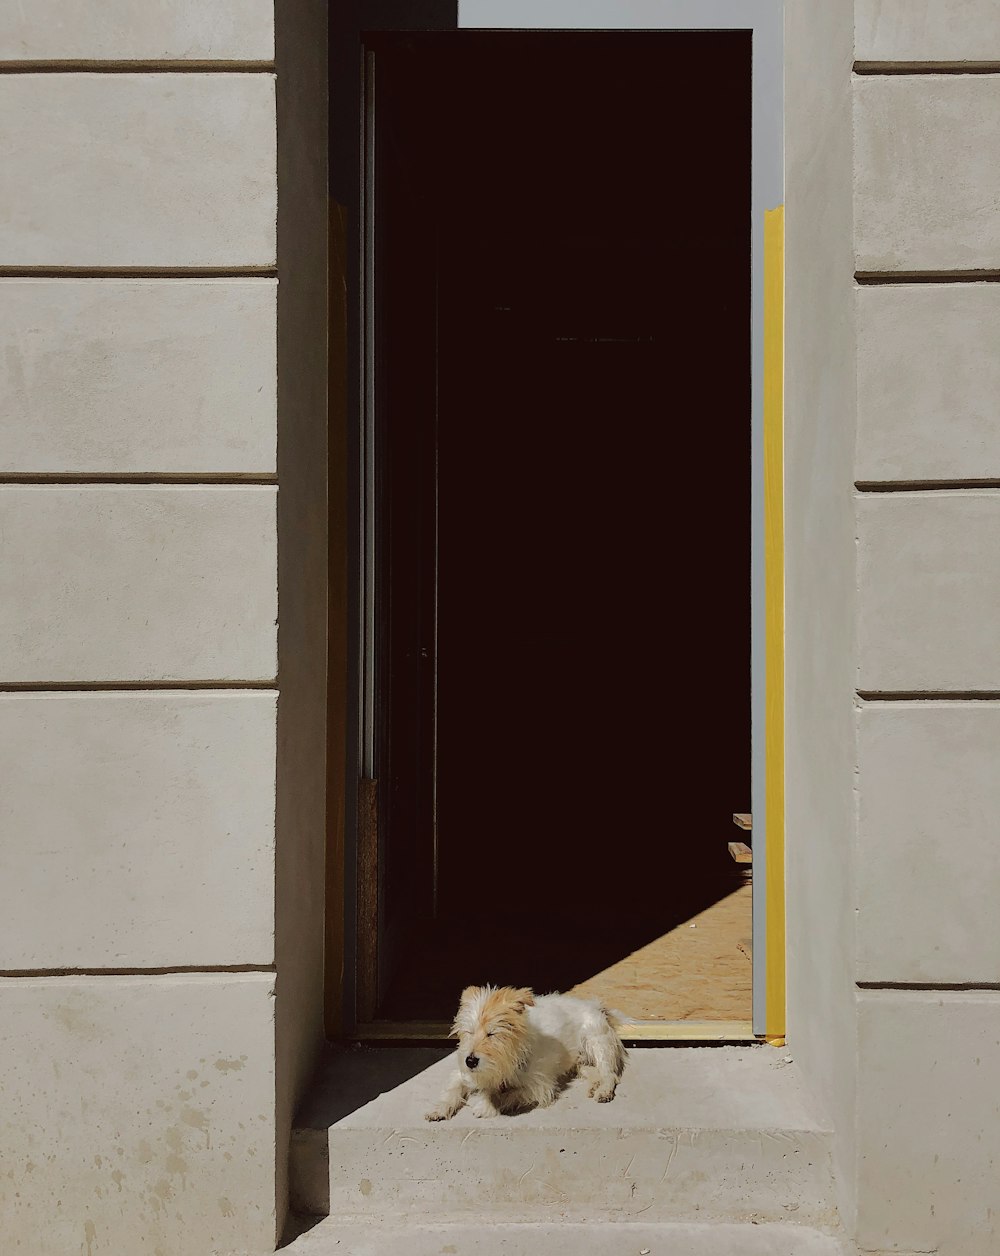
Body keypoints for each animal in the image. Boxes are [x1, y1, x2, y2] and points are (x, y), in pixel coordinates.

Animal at [424, 979, 628, 1120]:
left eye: (492, 1034)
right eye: (469, 1031)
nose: (471, 1061)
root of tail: (595, 1006)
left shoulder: (538, 1086)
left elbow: (505, 1095)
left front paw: (484, 1105)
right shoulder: (463, 1073)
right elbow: (452, 1089)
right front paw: (439, 1109)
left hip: (597, 1044)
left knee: (610, 1074)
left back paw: (603, 1091)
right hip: (579, 1062)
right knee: (593, 1071)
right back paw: (595, 1085)